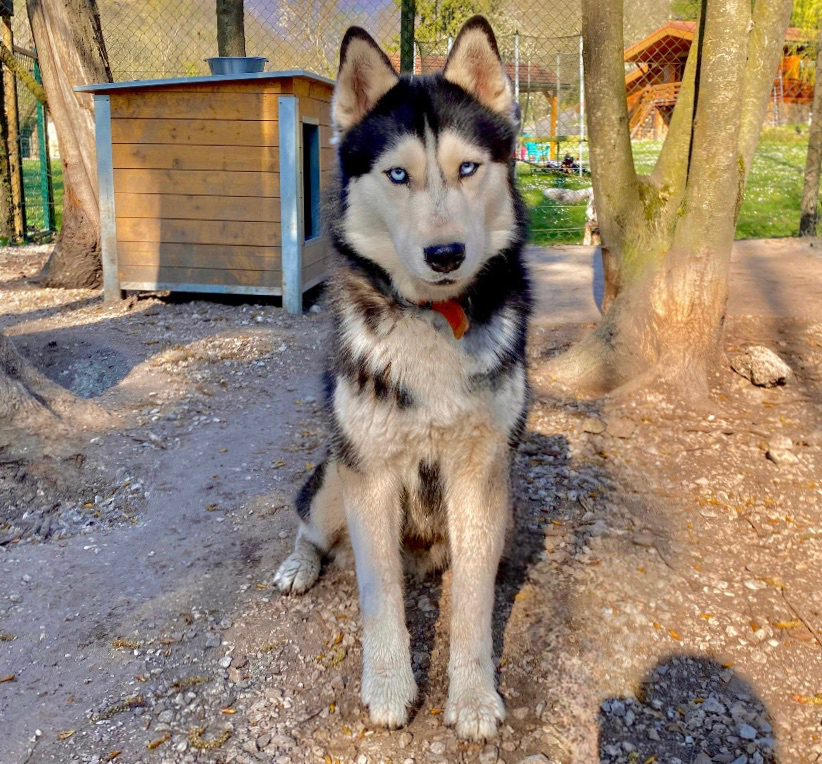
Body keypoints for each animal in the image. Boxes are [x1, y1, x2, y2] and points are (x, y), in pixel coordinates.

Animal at [276, 13, 536, 740]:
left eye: (467, 168)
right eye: (398, 175)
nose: (445, 254)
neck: (430, 319)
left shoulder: (480, 478)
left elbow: (473, 603)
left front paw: (473, 697)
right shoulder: (369, 478)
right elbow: (378, 594)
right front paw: (390, 685)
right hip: (334, 477)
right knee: (309, 524)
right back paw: (298, 564)